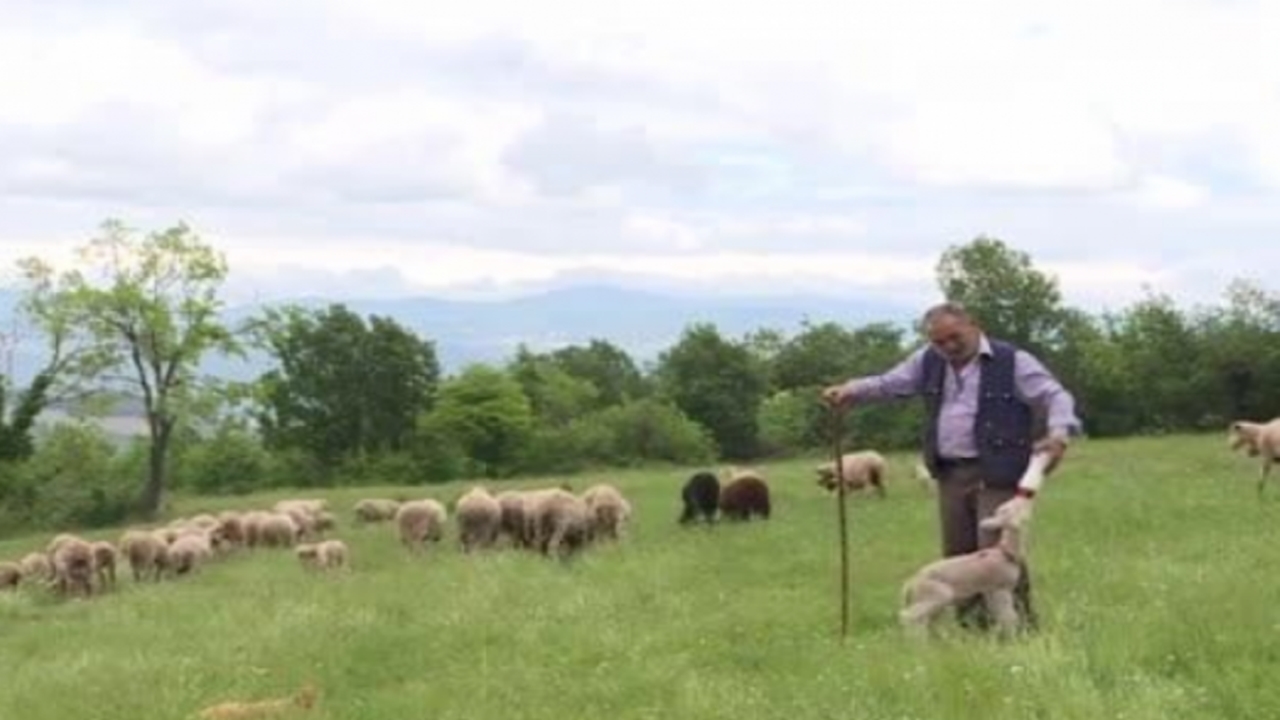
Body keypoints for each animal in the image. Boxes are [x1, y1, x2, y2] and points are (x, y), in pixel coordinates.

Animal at [896, 491, 1034, 638]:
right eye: (1013, 506)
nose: (1025, 495)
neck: (1005, 552)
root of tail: (910, 585)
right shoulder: (1001, 587)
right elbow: (1009, 616)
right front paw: (1012, 637)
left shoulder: (990, 589)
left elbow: (999, 614)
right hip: (936, 593)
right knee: (909, 616)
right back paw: (917, 641)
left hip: (927, 598)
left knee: (924, 620)